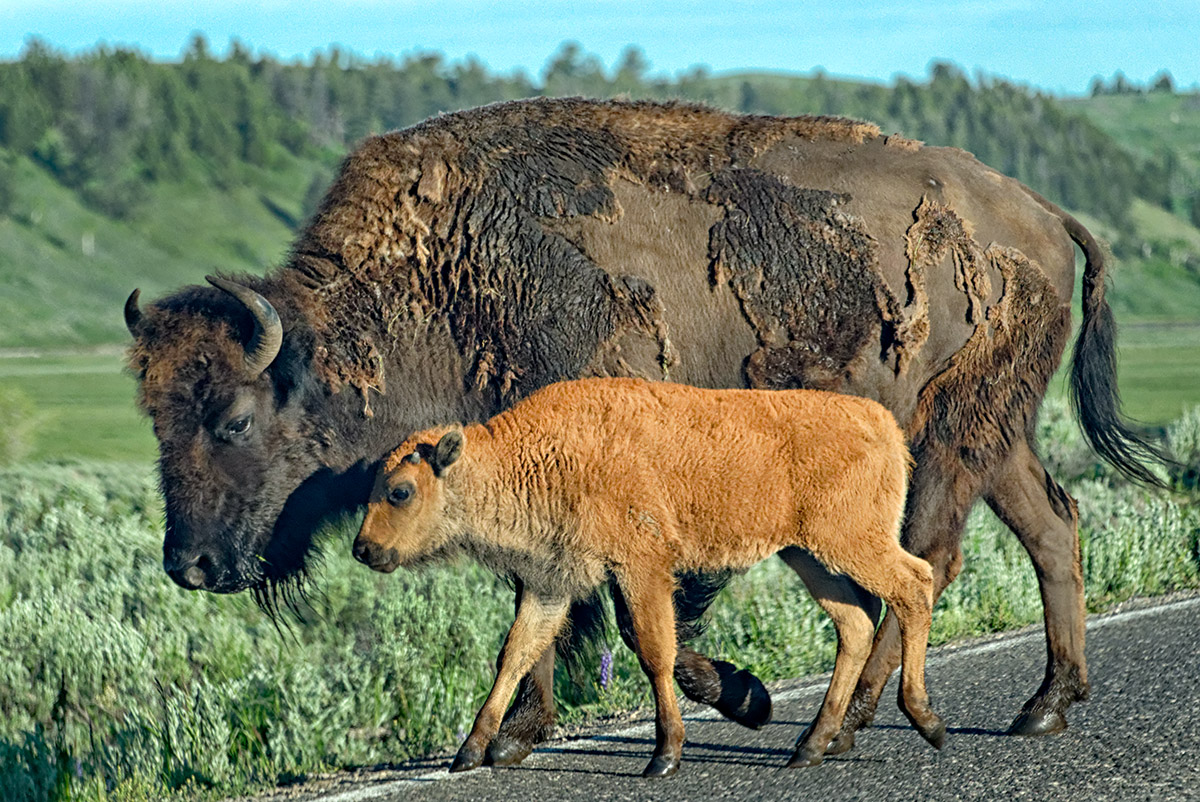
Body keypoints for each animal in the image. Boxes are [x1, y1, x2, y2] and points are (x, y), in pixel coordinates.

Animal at [355, 376, 945, 777]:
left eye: (400, 491)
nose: (363, 549)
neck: (536, 454)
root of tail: (884, 425)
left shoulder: (641, 569)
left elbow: (654, 650)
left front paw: (664, 755)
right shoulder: (551, 585)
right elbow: (515, 653)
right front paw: (470, 751)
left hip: (851, 543)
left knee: (915, 585)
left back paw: (925, 721)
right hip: (807, 555)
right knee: (856, 623)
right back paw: (809, 746)